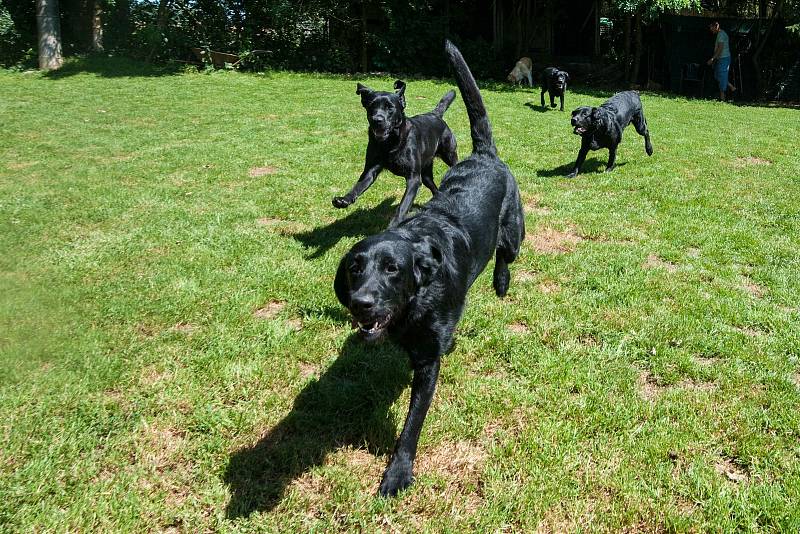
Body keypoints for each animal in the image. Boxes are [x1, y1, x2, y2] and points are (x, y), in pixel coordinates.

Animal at [330, 81, 456, 228]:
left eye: (390, 107)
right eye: (371, 106)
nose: (377, 120)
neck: (389, 143)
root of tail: (435, 114)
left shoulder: (413, 178)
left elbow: (403, 205)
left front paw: (395, 223)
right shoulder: (370, 170)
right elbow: (358, 186)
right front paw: (344, 199)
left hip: (449, 155)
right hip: (425, 175)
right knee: (435, 189)